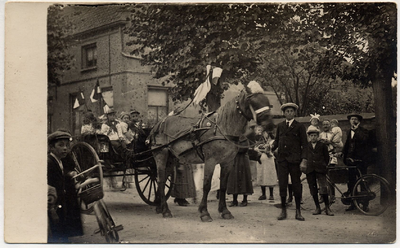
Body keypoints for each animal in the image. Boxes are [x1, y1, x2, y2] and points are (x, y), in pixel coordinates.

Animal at [148, 82, 274, 223]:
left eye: (266, 100)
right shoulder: (210, 161)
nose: (270, 124)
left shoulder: (227, 162)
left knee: (163, 179)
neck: (222, 129)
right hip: (161, 155)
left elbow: (223, 186)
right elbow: (206, 185)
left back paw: (159, 207)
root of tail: (158, 123)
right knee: (160, 180)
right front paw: (204, 212)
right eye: (252, 100)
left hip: (171, 158)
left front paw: (224, 211)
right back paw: (165, 210)